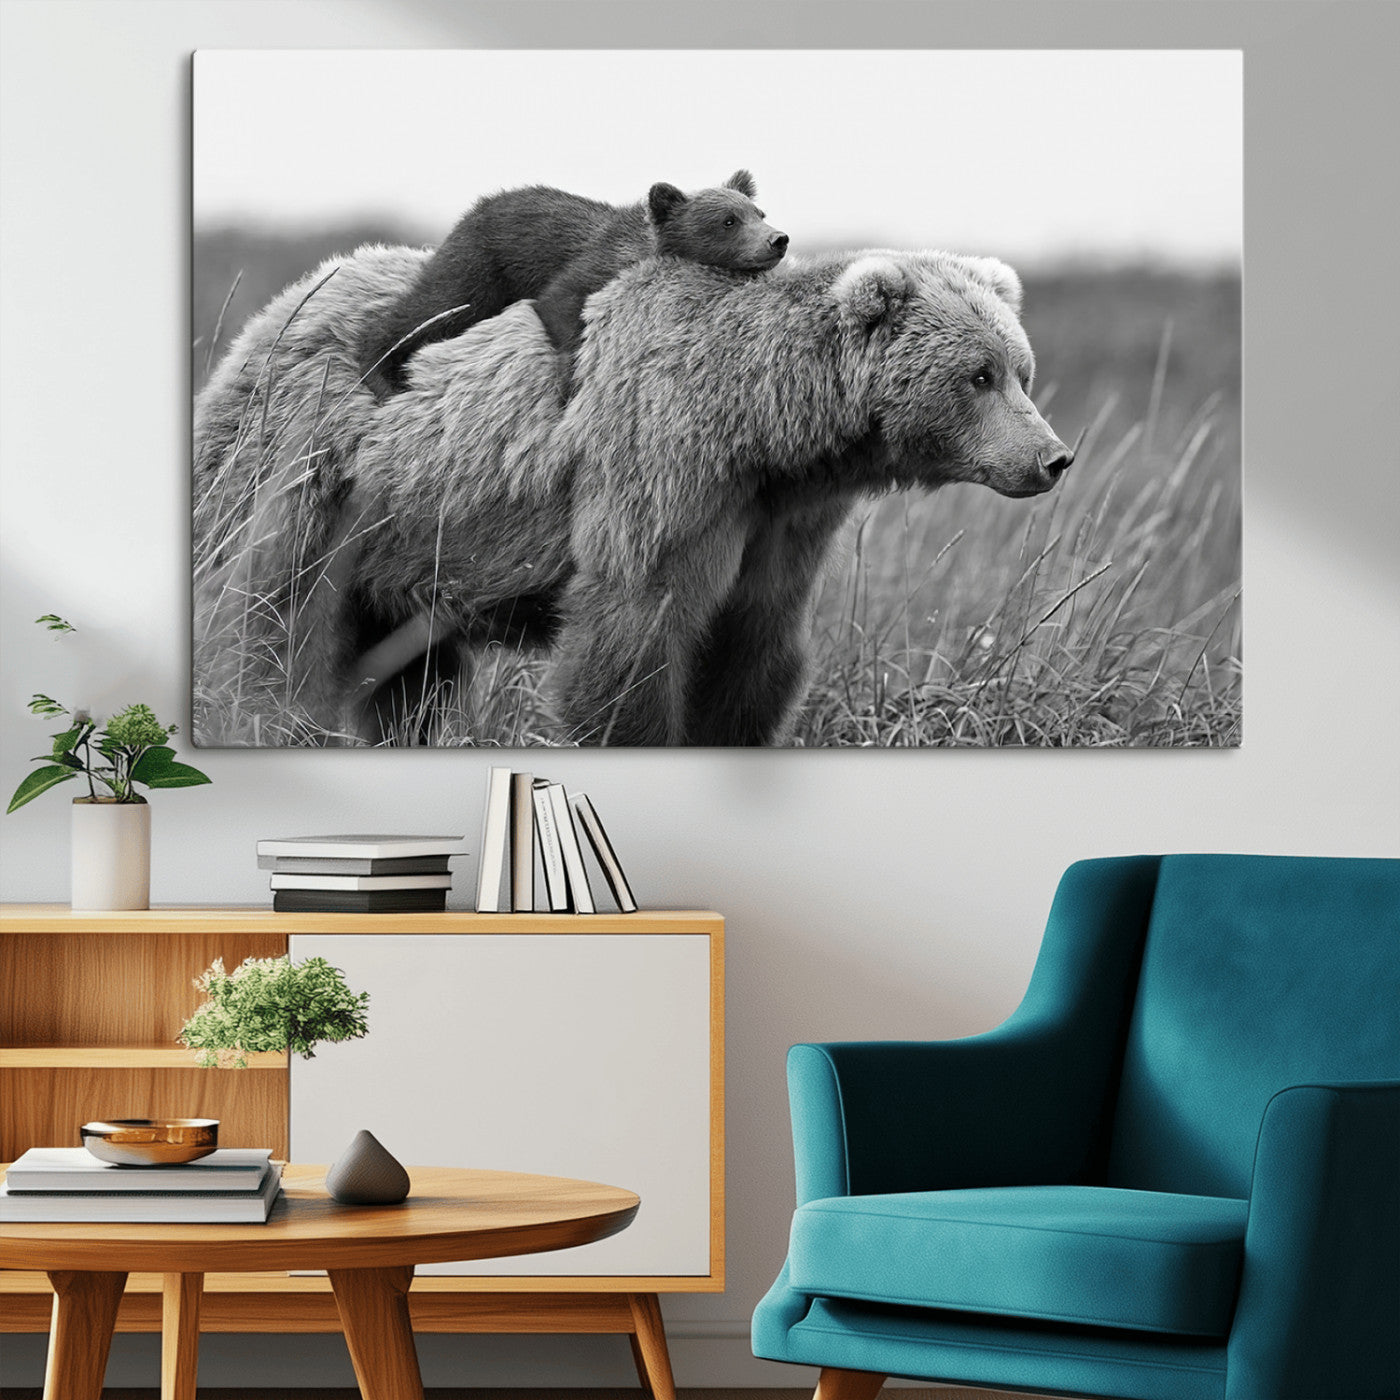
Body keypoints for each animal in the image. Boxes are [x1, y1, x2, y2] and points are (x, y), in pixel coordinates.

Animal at [193, 245, 1072, 747]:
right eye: (979, 375)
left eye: (1021, 370)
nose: (1053, 457)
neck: (766, 428)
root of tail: (284, 302)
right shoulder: (662, 469)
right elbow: (632, 635)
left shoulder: (780, 522)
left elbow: (752, 650)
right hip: (312, 472)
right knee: (271, 617)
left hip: (409, 541)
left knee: (410, 678)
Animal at [359, 170, 787, 398]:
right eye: (728, 220)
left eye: (759, 212)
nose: (778, 239)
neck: (643, 249)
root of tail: (476, 207)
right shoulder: (592, 265)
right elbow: (560, 302)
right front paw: (571, 380)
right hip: (480, 266)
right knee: (433, 307)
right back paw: (380, 372)